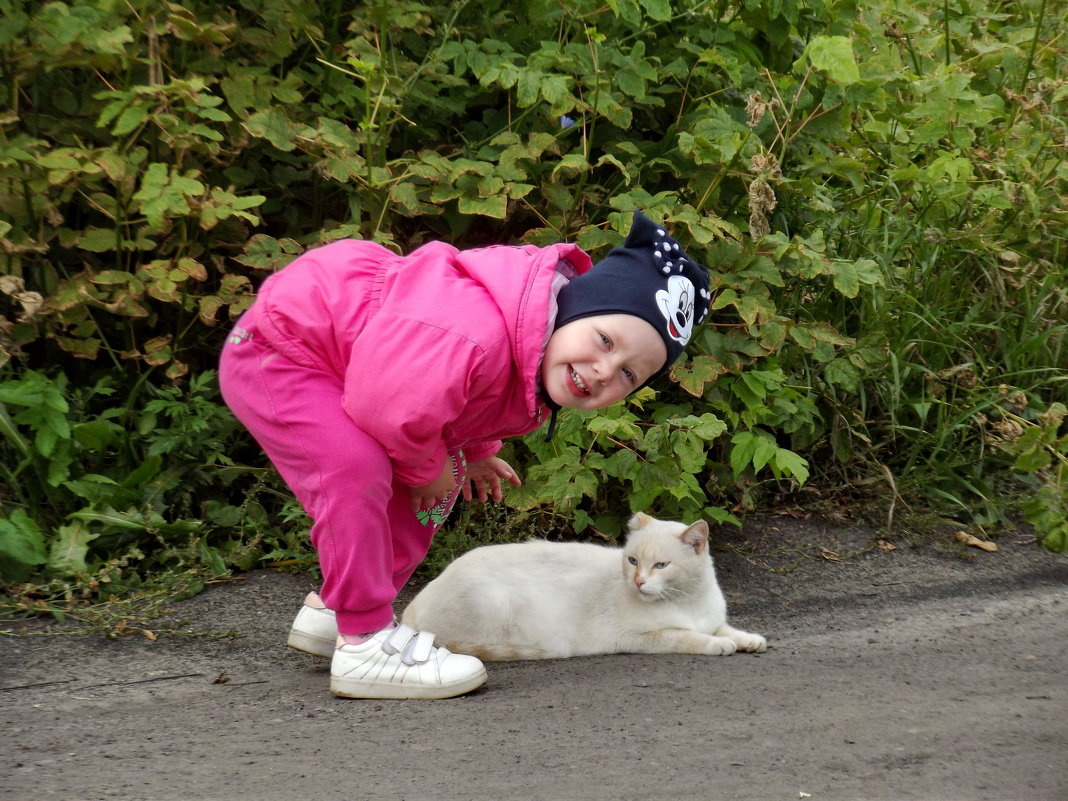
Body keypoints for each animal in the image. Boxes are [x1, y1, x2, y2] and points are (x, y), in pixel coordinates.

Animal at [401, 514, 768, 666]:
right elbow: (690, 637)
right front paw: (718, 645)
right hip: (492, 603)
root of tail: (409, 612)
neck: (686, 601)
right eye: (633, 560)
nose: (639, 581)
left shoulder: (711, 618)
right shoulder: (645, 637)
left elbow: (726, 628)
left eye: (661, 566)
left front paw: (749, 640)